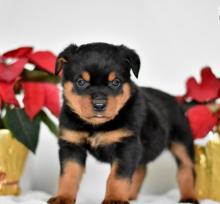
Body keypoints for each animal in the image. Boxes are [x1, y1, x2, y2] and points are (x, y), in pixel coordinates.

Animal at [47, 42, 199, 203]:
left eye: (116, 82)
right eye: (80, 82)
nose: (99, 105)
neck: (97, 126)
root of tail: (176, 101)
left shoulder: (126, 145)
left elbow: (118, 176)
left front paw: (115, 198)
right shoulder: (71, 145)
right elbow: (68, 175)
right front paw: (63, 197)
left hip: (182, 141)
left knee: (186, 169)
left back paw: (189, 197)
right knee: (141, 169)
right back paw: (131, 195)